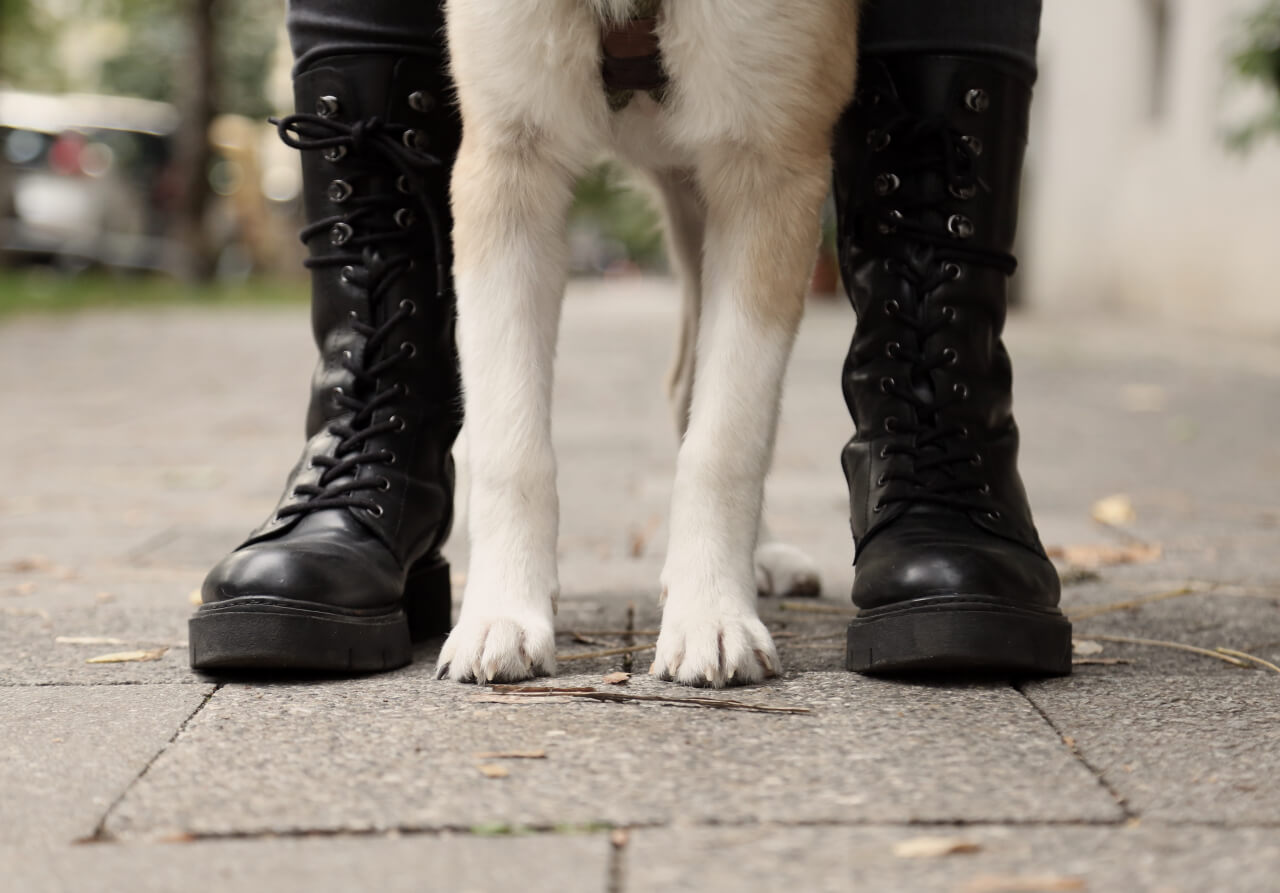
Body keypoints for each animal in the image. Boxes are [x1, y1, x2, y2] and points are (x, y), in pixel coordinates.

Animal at [440, 0, 860, 685]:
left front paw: (712, 613)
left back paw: (760, 555)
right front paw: (500, 613)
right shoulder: (508, 155)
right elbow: (510, 444)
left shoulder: (769, 161)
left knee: (699, 394)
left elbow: (727, 438)